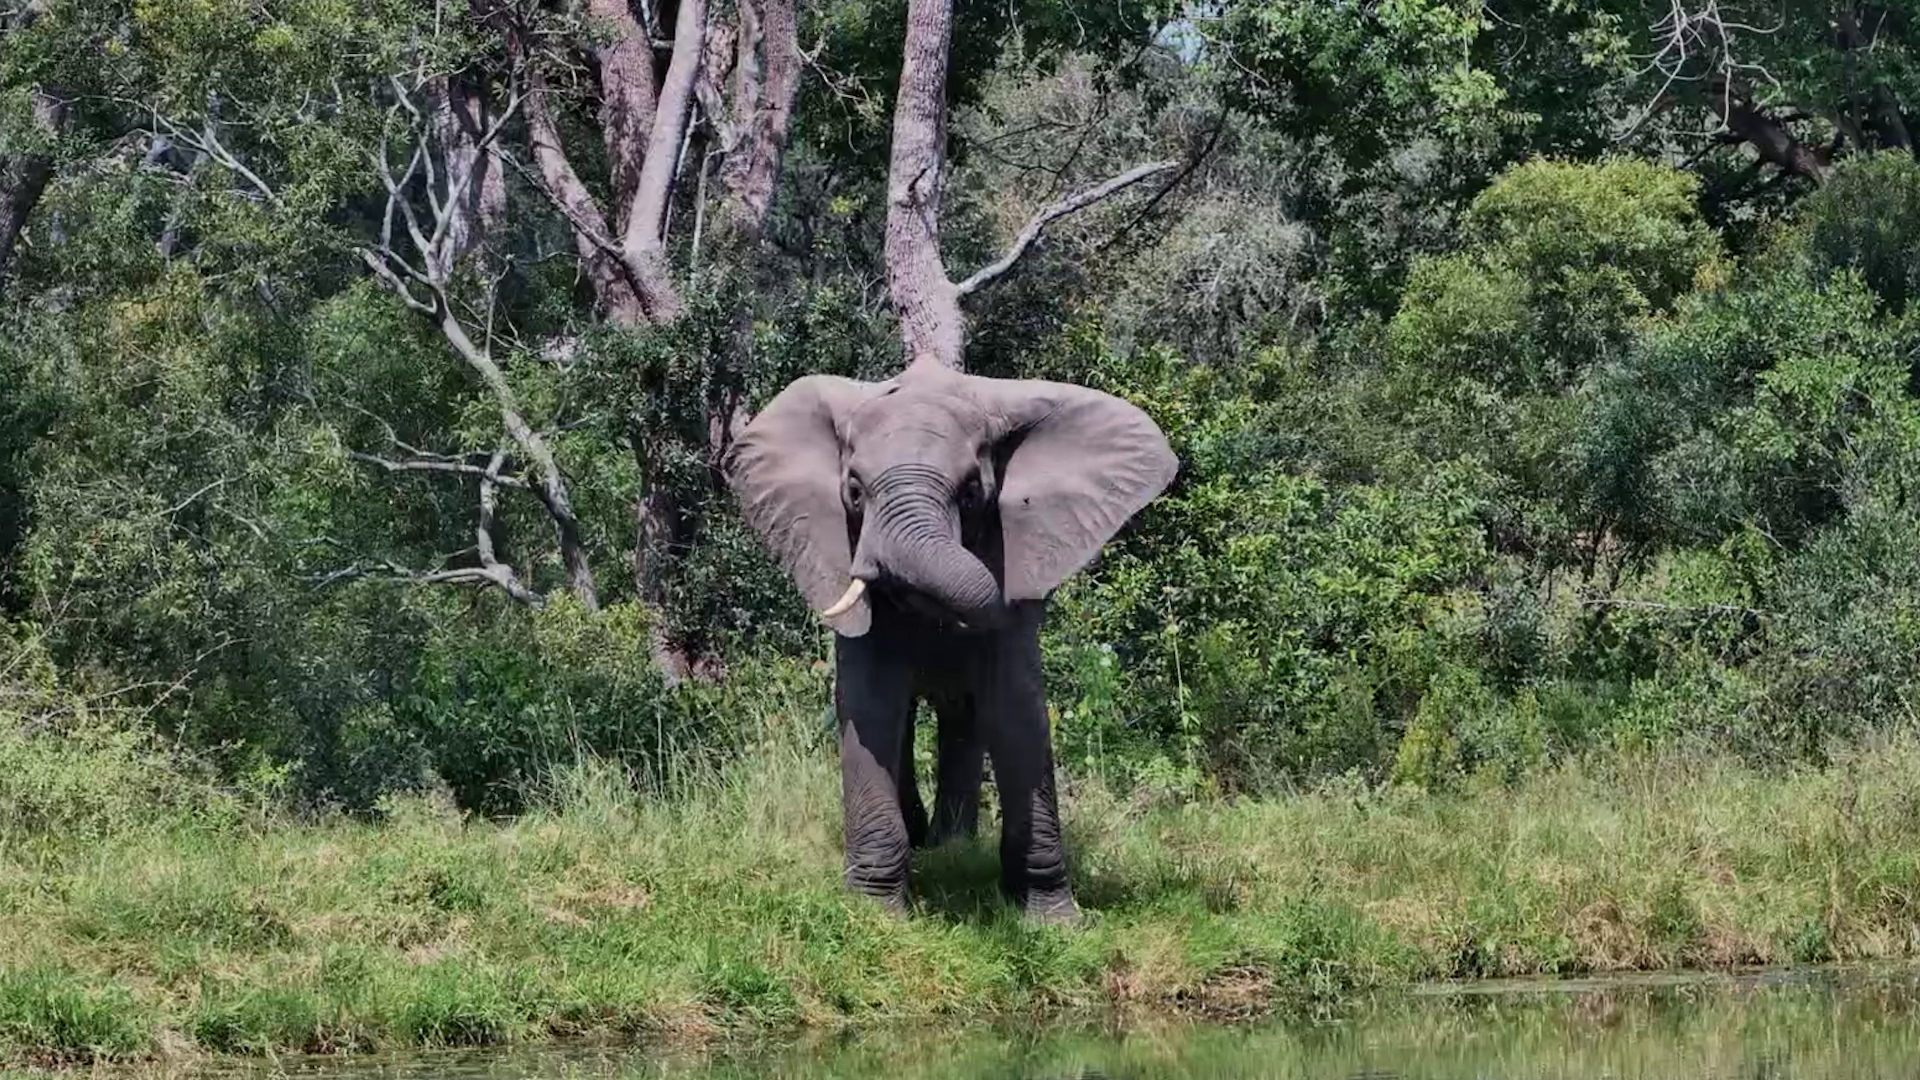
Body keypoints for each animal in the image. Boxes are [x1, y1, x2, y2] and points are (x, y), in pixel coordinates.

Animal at [728, 358, 1176, 922]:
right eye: (853, 492)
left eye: (970, 493)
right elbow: (870, 706)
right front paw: (875, 917)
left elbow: (1016, 708)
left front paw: (1052, 920)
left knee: (964, 716)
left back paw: (951, 846)